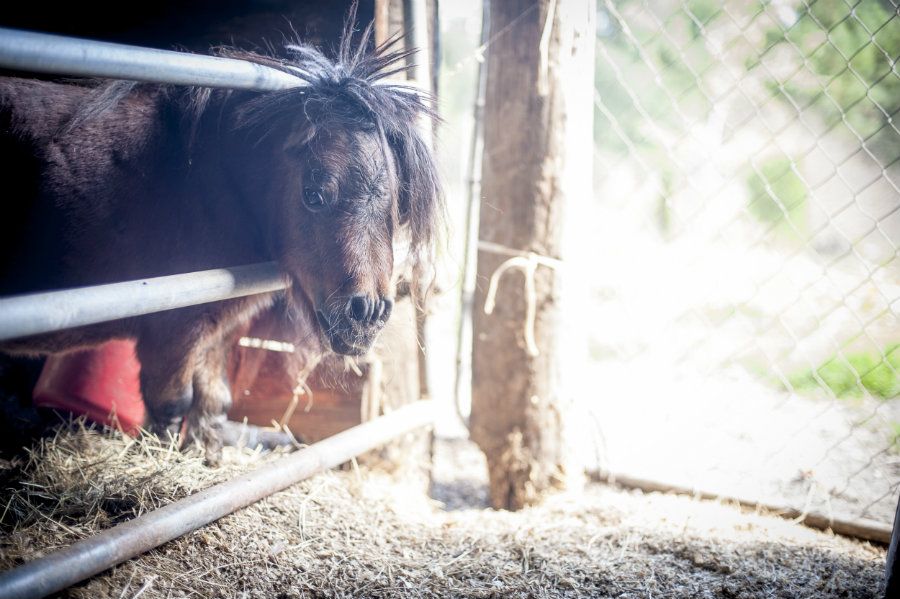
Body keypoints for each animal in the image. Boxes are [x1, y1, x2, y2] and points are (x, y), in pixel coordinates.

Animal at [0, 21, 444, 458]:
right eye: (313, 194)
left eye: (398, 201)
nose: (367, 313)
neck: (201, 183)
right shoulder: (172, 330)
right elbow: (170, 407)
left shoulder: (218, 329)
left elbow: (213, 402)